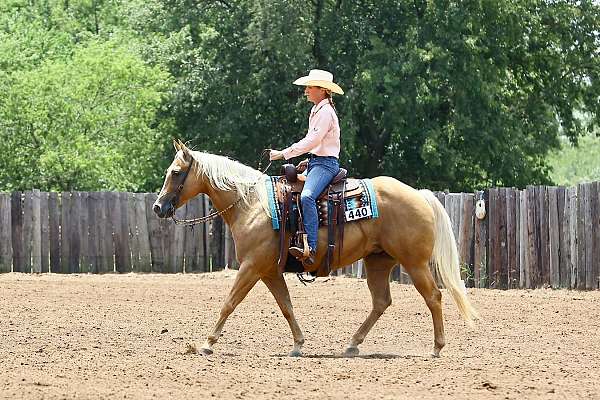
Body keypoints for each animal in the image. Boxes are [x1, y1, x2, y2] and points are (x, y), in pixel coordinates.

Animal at [154, 140, 478, 356]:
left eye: (176, 172)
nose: (158, 207)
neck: (251, 204)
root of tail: (420, 195)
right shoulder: (269, 271)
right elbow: (285, 306)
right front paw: (298, 344)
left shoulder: (252, 266)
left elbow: (230, 302)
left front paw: (206, 343)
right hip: (378, 261)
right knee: (381, 302)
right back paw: (352, 344)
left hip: (414, 262)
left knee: (433, 296)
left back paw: (436, 348)